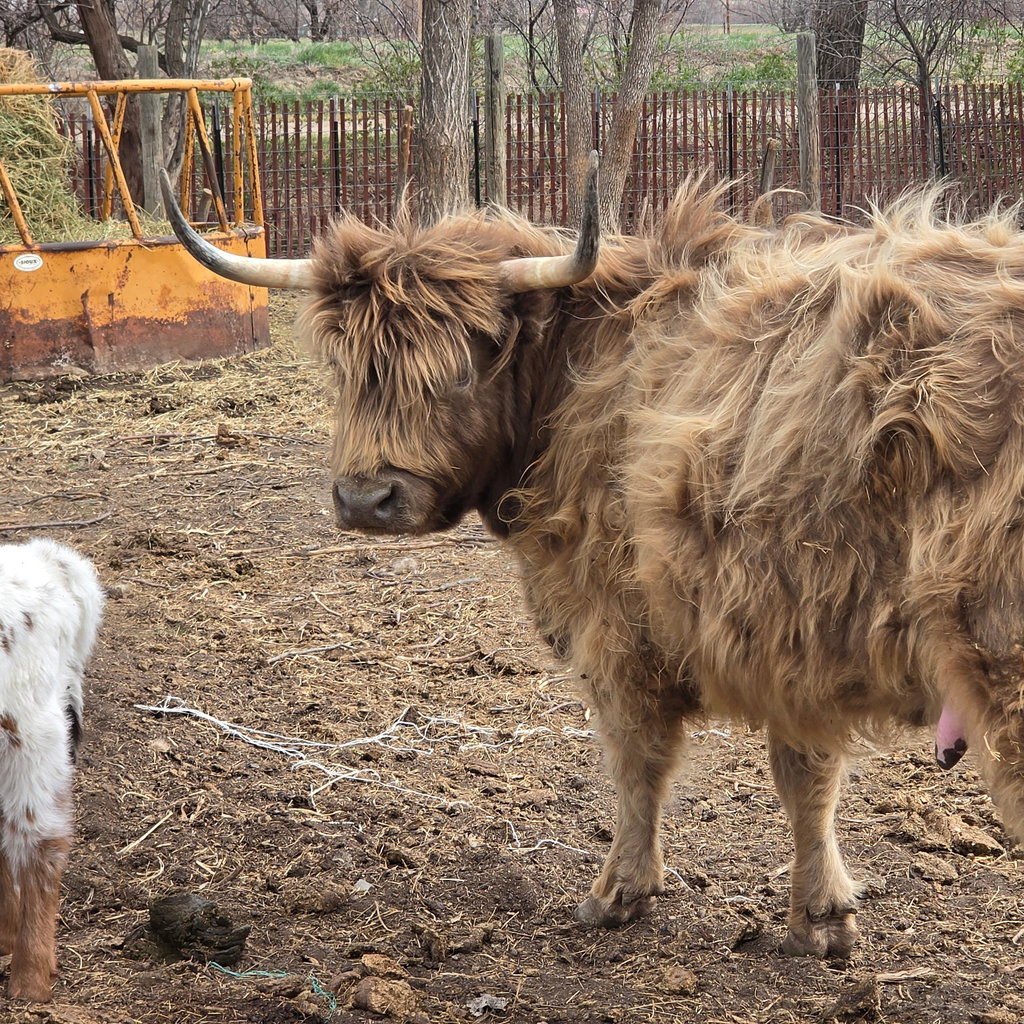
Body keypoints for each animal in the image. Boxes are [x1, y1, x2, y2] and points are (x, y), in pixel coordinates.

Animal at [161, 160, 1024, 958]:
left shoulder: (617, 620)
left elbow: (637, 759)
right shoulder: (787, 630)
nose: (367, 499)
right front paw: (822, 917)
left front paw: (620, 893)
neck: (583, 363)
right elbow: (806, 778)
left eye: (466, 362)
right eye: (348, 368)